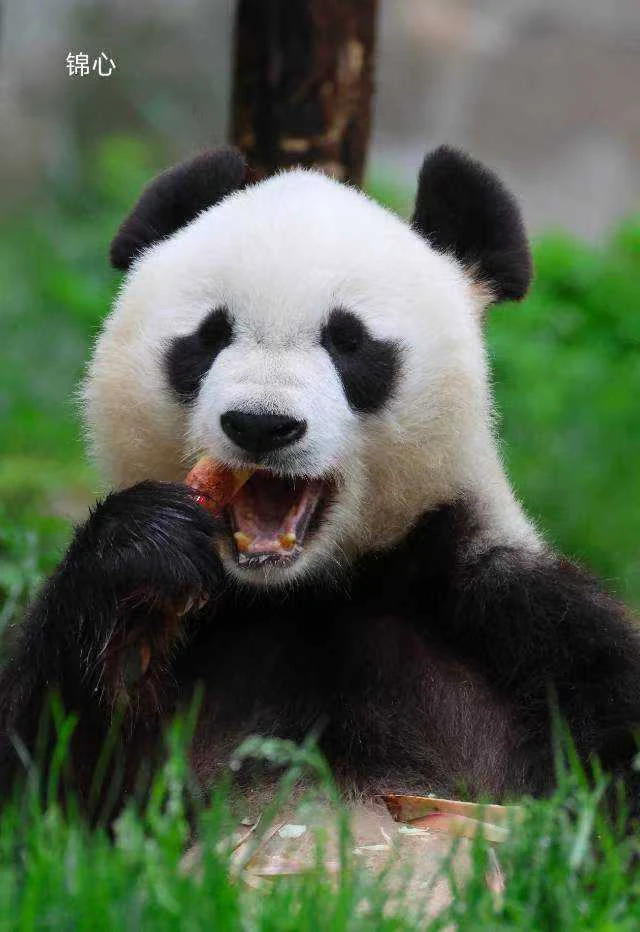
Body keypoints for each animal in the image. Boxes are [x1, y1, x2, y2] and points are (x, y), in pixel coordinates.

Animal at [1, 145, 639, 821]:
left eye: (348, 341)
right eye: (208, 337)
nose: (261, 424)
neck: (302, 591)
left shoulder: (511, 618)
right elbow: (52, 784)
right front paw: (142, 560)